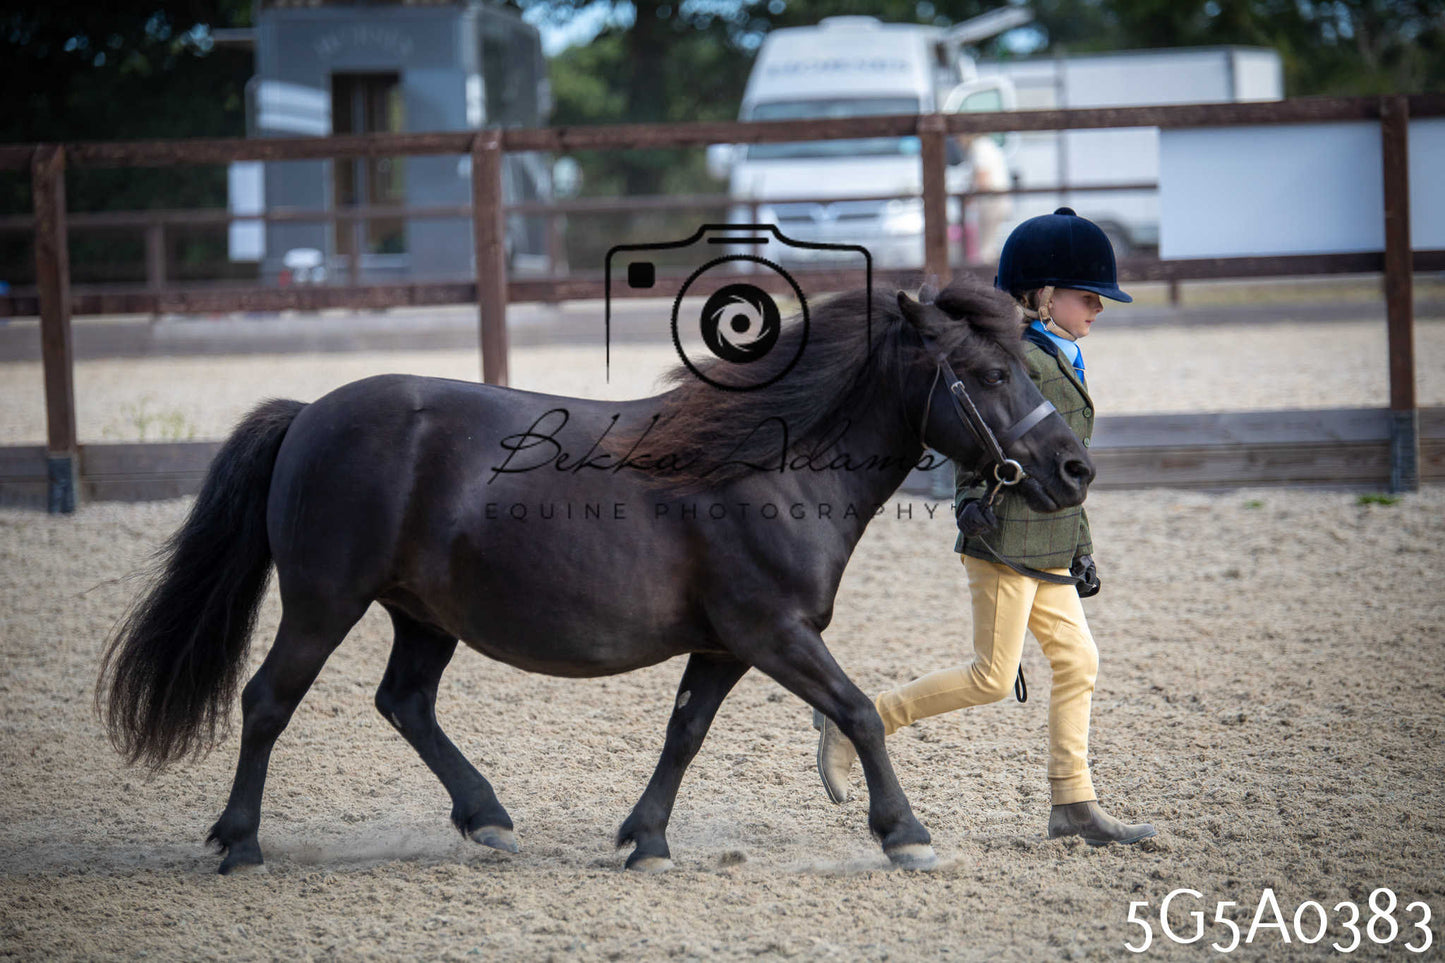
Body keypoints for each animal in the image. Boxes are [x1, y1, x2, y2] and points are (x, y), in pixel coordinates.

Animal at [99, 278, 1095, 874]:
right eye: (988, 371)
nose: (1074, 468)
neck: (768, 467)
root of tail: (310, 413)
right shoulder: (773, 631)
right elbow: (855, 710)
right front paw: (905, 833)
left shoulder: (726, 644)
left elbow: (684, 732)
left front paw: (645, 838)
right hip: (322, 602)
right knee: (268, 699)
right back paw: (239, 842)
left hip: (423, 614)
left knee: (404, 702)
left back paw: (487, 816)